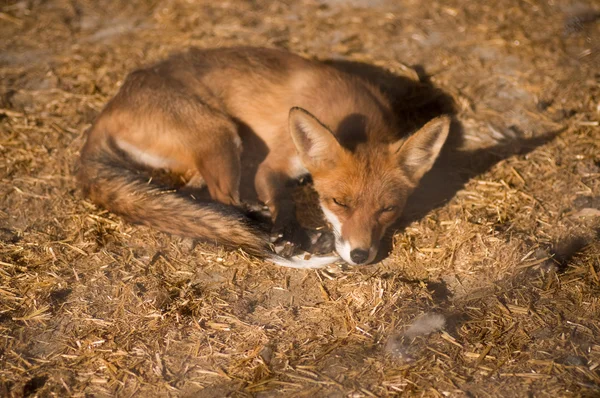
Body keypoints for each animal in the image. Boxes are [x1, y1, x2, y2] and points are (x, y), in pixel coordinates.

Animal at [77, 48, 448, 268]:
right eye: (339, 202)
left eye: (388, 209)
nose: (359, 256)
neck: (359, 118)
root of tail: (109, 107)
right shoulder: (272, 166)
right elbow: (283, 199)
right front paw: (287, 230)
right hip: (221, 135)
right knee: (224, 200)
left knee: (193, 194)